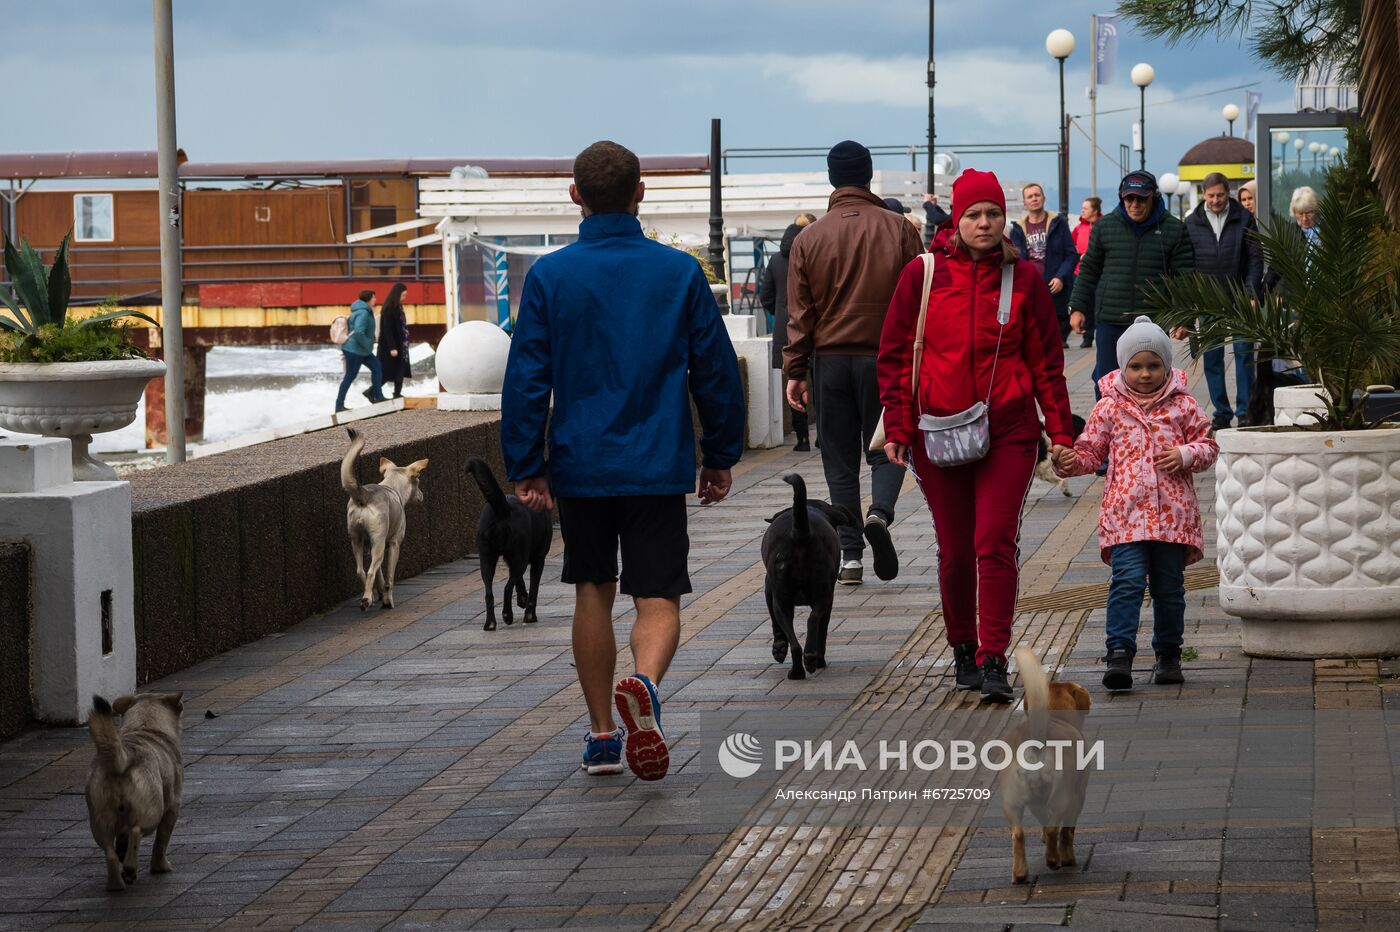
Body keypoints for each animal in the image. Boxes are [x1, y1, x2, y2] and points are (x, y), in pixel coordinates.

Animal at [85, 694, 186, 890]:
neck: (144, 727)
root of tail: (122, 758)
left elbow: (122, 840)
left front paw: (122, 852)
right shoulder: (172, 807)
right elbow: (161, 841)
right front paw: (160, 866)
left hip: (100, 821)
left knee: (110, 852)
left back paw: (116, 883)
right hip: (153, 811)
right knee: (137, 831)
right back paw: (130, 868)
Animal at [340, 425, 425, 607]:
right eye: (418, 481)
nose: (422, 495)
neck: (392, 486)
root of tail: (364, 494)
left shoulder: (370, 547)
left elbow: (379, 577)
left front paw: (379, 593)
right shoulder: (394, 544)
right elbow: (389, 578)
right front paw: (387, 600)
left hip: (356, 539)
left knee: (361, 571)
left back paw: (369, 596)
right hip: (378, 542)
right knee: (370, 571)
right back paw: (367, 600)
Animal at [459, 456, 546, 626]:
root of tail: (503, 508)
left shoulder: (510, 559)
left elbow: (520, 582)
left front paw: (522, 598)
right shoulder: (538, 559)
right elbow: (534, 588)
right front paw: (529, 615)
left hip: (487, 559)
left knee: (489, 593)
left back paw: (490, 623)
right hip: (520, 558)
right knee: (507, 588)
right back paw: (507, 615)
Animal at [761, 472, 856, 674]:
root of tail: (801, 533)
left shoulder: (769, 591)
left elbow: (775, 623)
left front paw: (779, 648)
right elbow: (822, 628)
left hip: (785, 599)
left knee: (802, 630)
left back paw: (802, 666)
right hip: (819, 594)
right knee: (812, 623)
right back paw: (807, 661)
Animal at [1002, 643, 1086, 884]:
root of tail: (1037, 742)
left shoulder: (1036, 803)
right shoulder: (1079, 795)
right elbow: (1067, 831)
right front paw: (1066, 856)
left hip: (1012, 802)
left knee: (1018, 834)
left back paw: (1020, 873)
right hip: (1063, 796)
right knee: (1054, 828)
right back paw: (1054, 859)